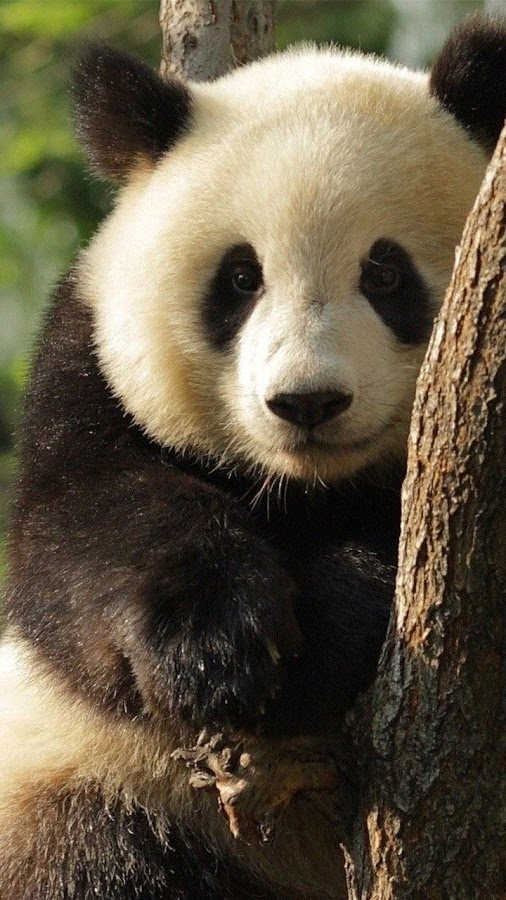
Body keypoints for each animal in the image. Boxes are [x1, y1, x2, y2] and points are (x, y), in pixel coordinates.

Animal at [1, 13, 505, 900]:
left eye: (384, 273)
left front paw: (326, 629)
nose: (308, 403)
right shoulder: (85, 372)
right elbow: (78, 538)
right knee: (91, 852)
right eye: (240, 278)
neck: (308, 489)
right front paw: (218, 646)